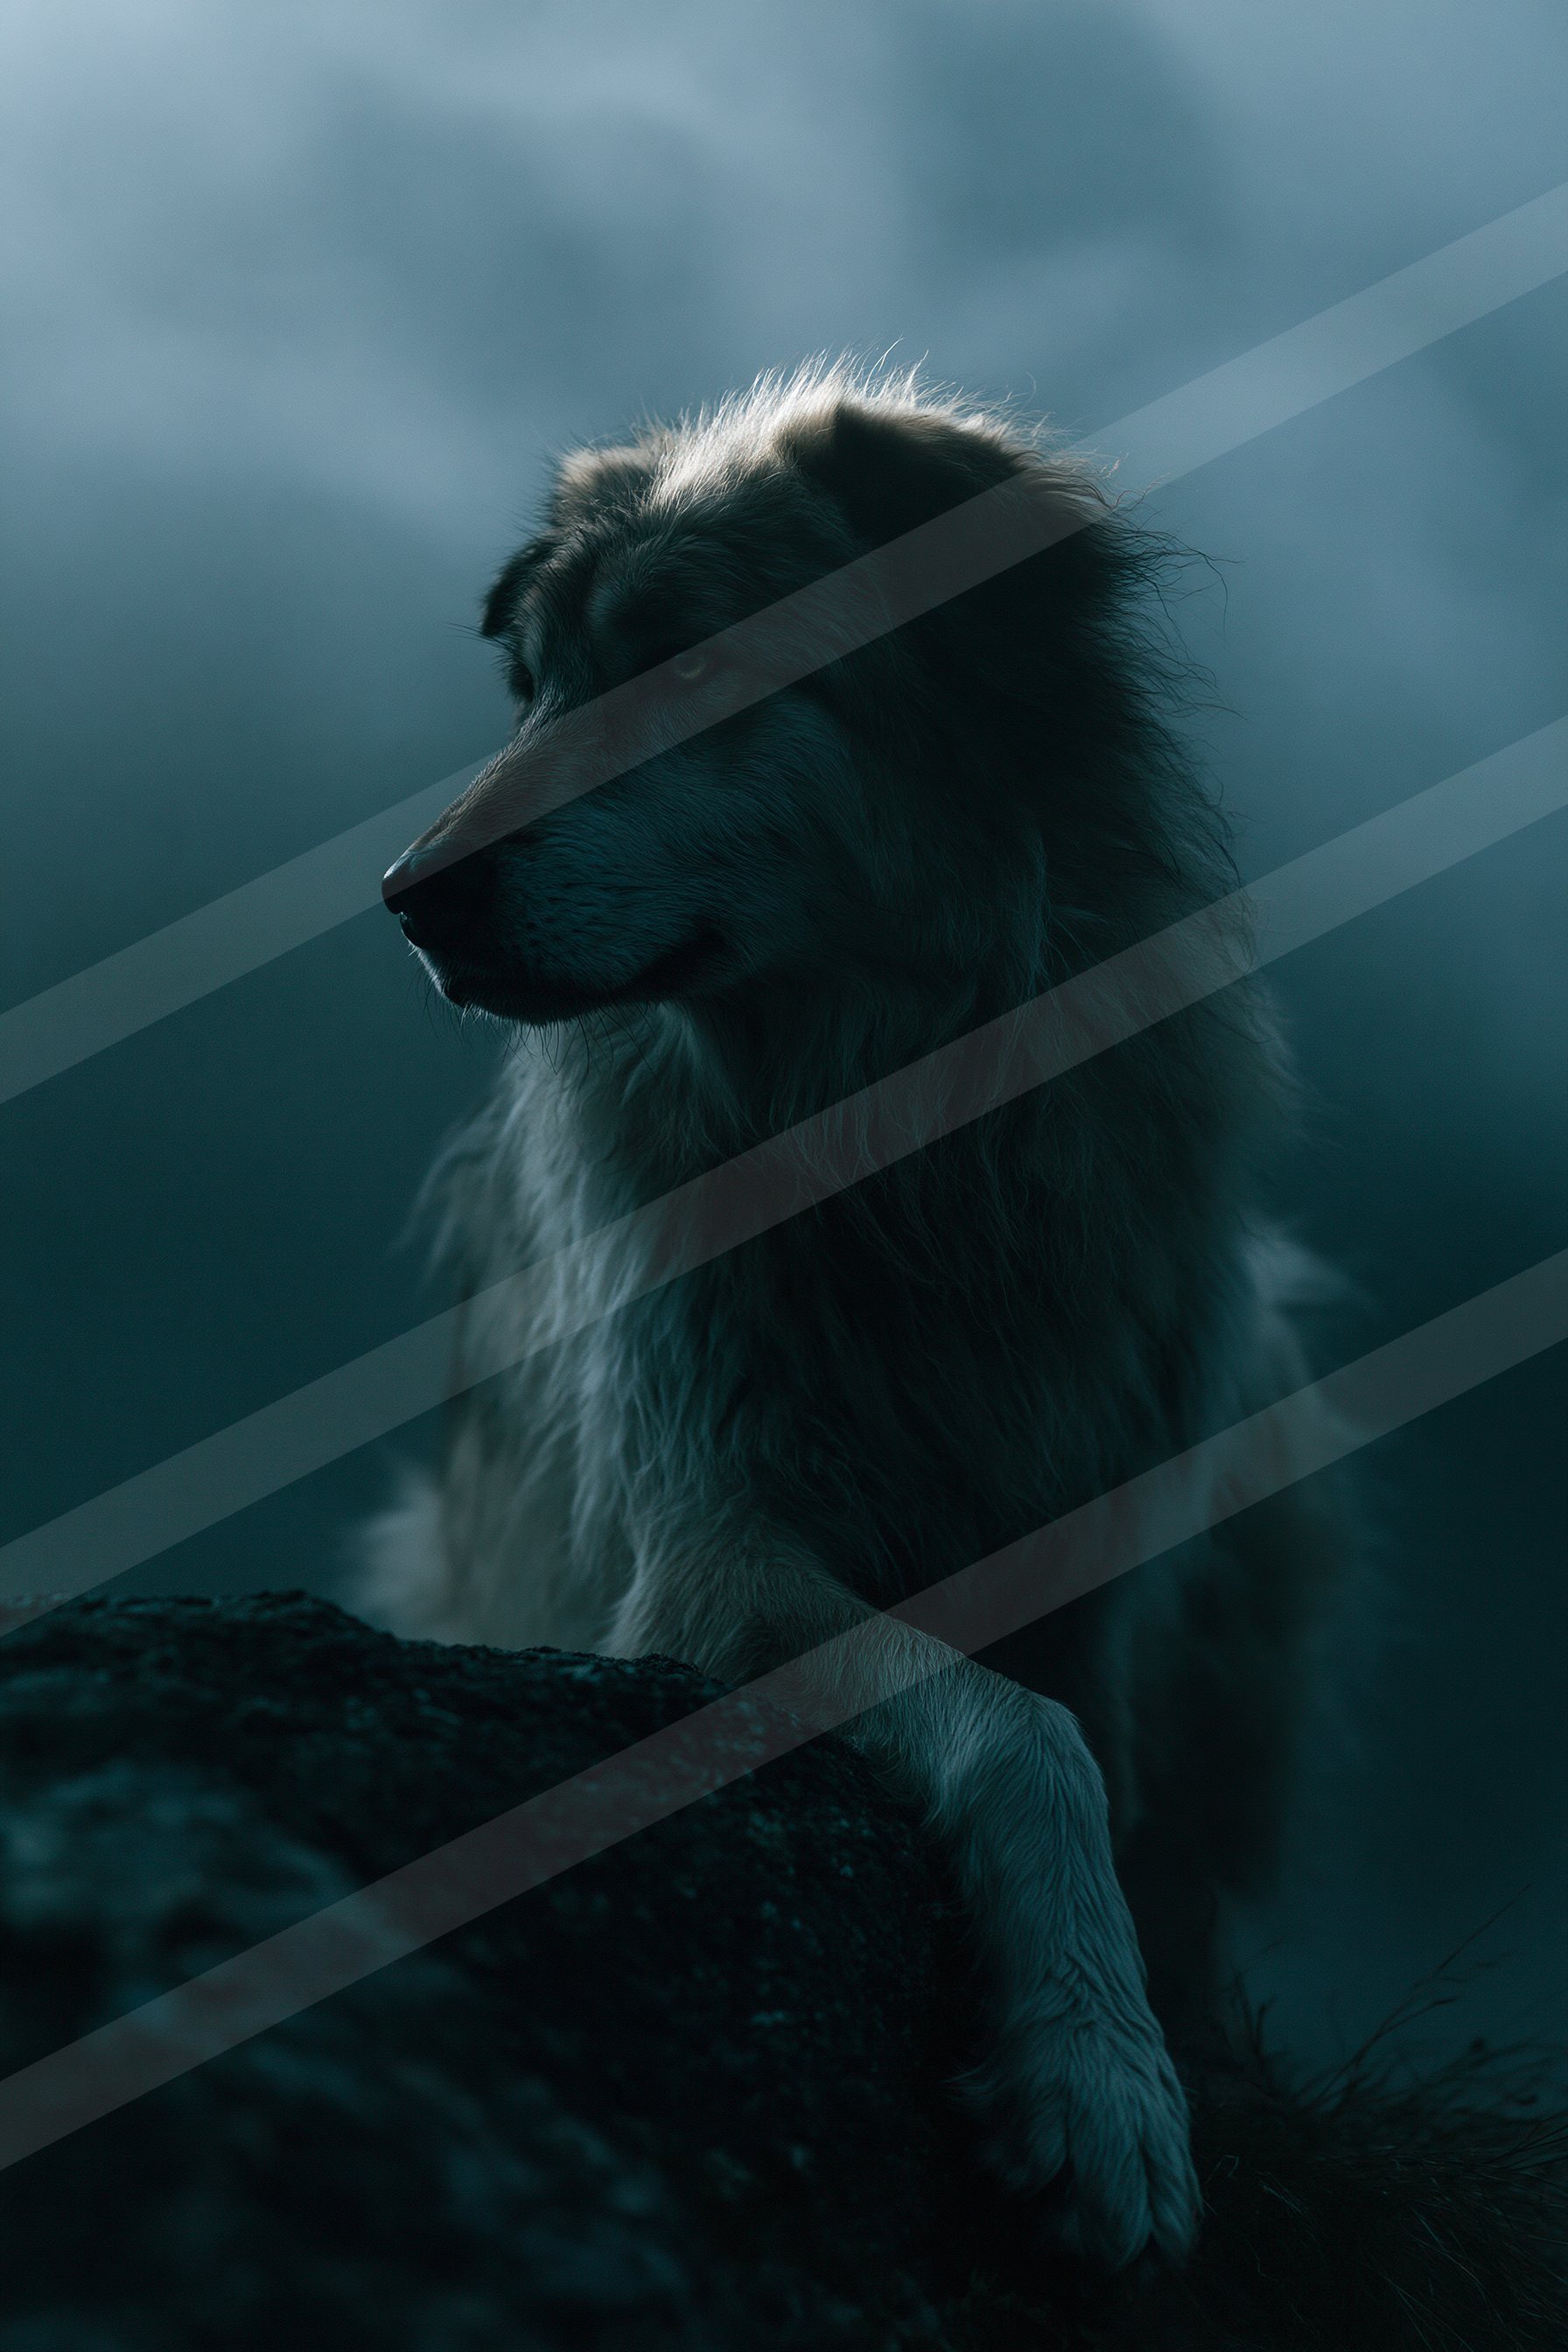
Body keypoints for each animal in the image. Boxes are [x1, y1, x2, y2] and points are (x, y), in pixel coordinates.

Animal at [363, 360, 1349, 2268]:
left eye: (685, 662)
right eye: (538, 690)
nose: (407, 898)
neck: (889, 1139)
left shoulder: (1096, 1535)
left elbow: (1085, 1743)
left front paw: (1130, 2056)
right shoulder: (708, 1552)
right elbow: (1024, 1739)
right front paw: (1099, 2085)